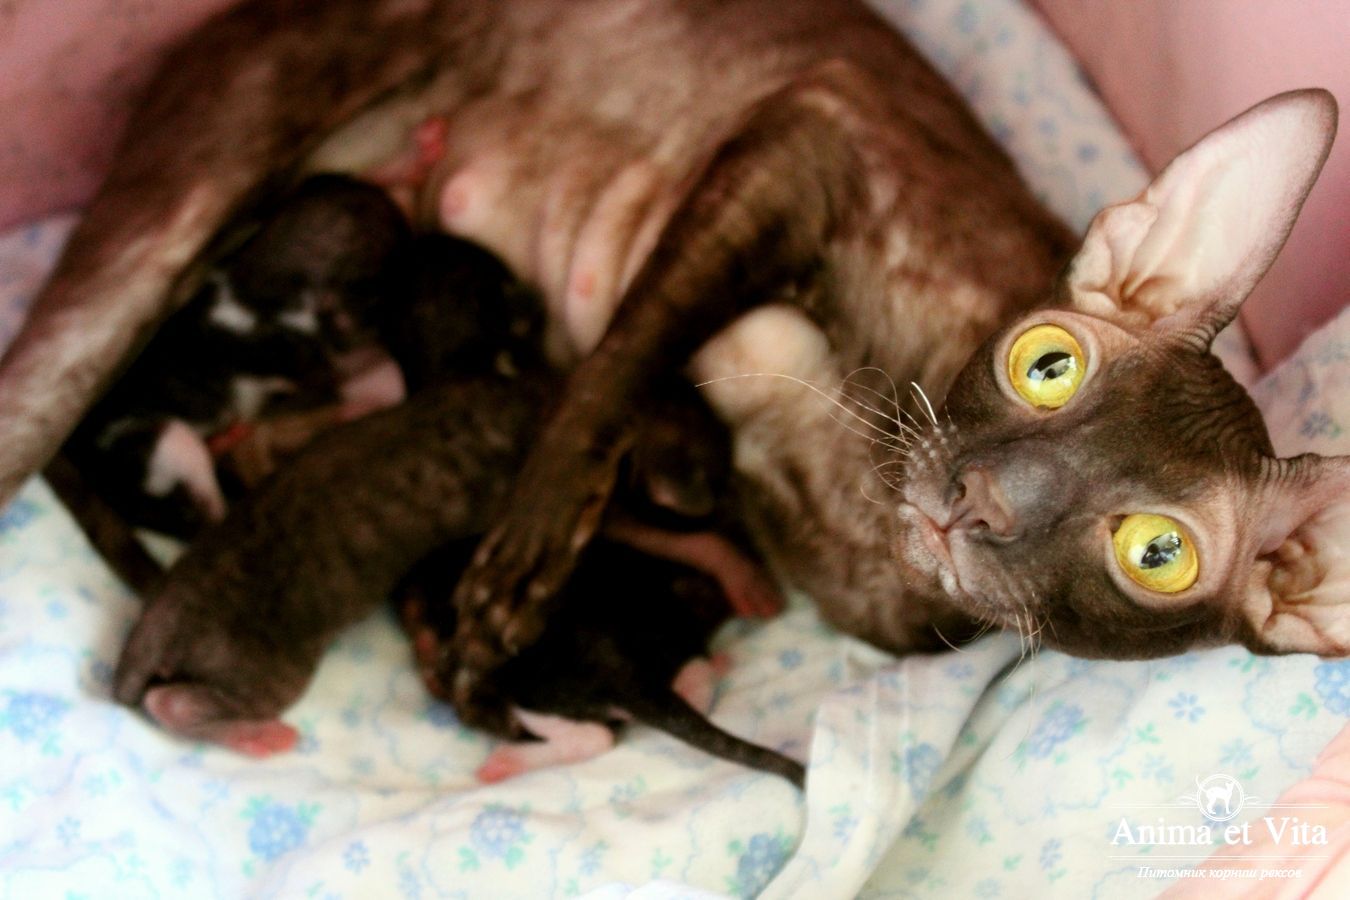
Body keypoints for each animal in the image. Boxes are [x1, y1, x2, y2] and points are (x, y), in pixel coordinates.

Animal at [0, 1, 1343, 732]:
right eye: (1047, 364)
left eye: (1157, 554)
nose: (980, 500)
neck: (857, 477)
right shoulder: (809, 133)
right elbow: (620, 367)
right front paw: (519, 569)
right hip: (198, 185)